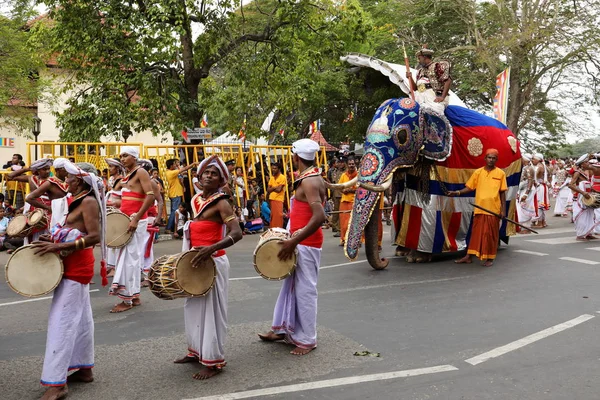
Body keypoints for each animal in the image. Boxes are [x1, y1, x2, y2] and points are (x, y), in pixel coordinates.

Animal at [340, 98, 524, 270]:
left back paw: (494, 246)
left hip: (512, 177)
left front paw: (416, 257)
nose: (384, 261)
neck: (427, 111)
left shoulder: (440, 164)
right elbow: (402, 197)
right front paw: (401, 252)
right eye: (365, 137)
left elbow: (425, 204)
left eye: (402, 136)